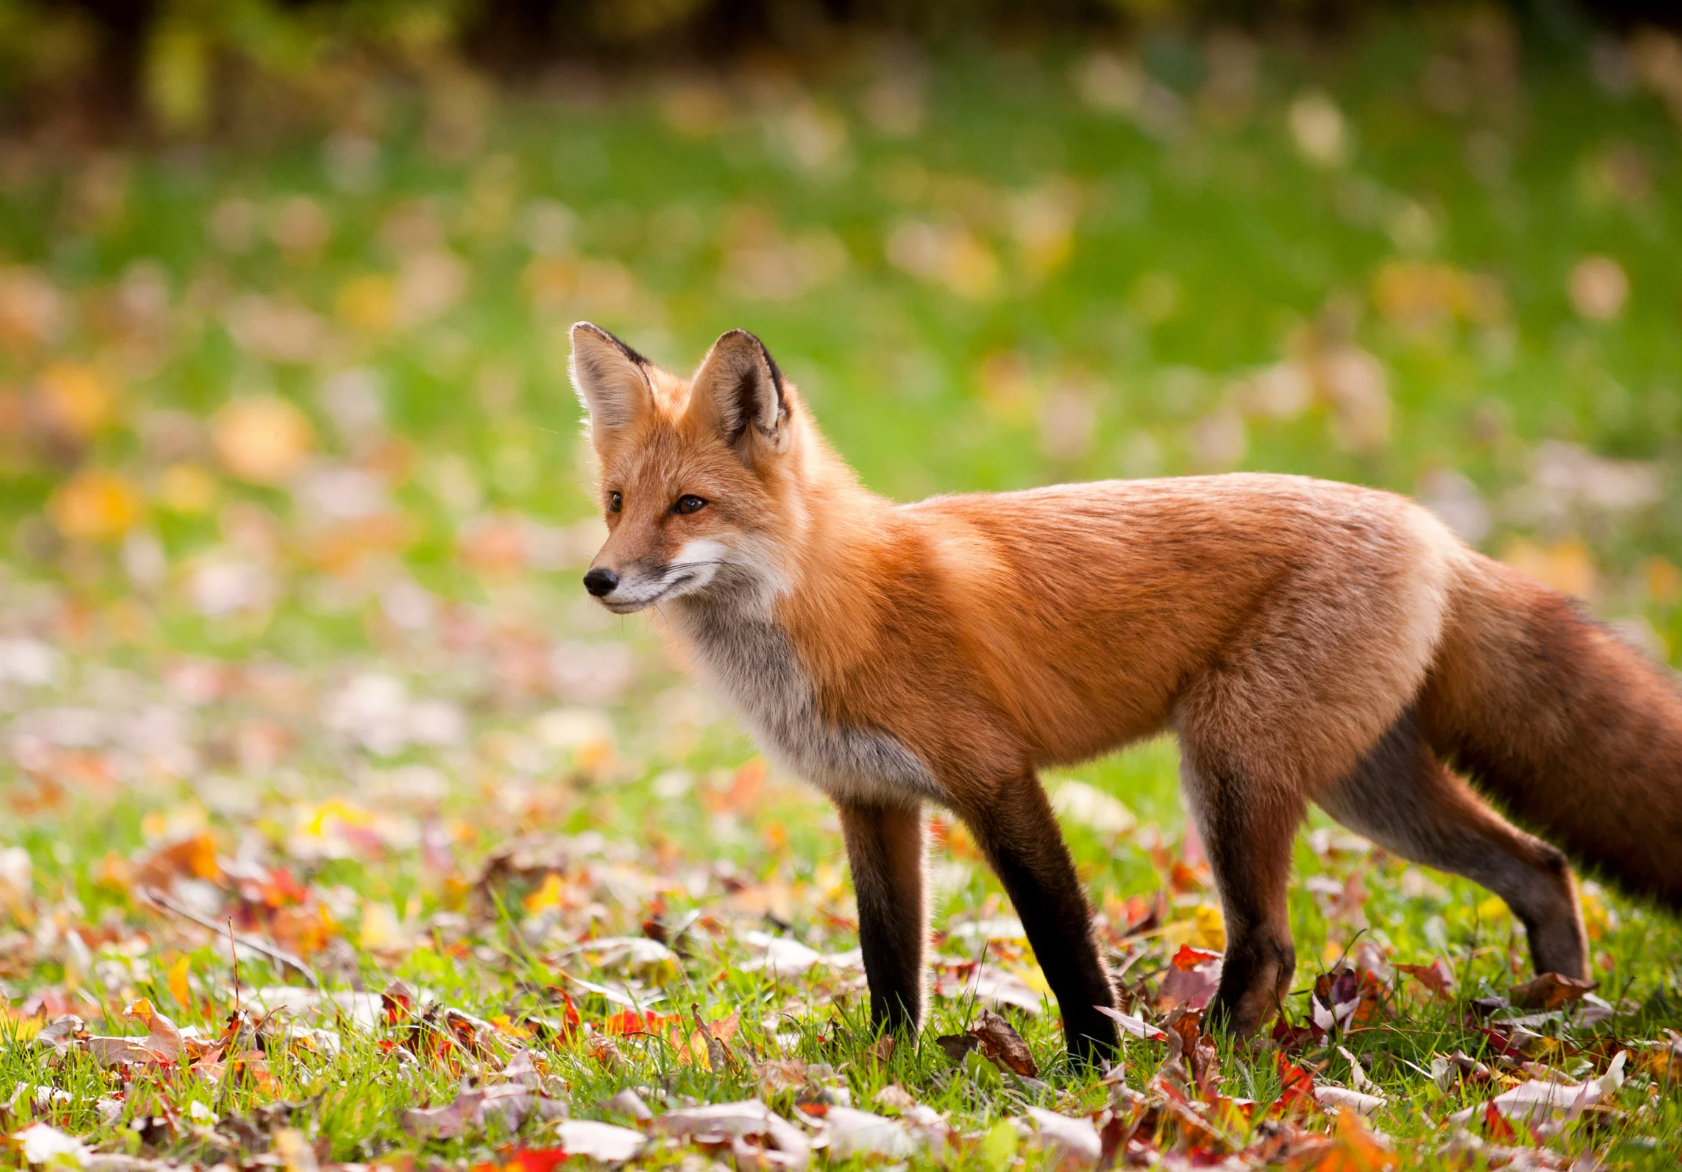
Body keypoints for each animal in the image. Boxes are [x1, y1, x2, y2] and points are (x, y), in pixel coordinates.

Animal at [568, 322, 1682, 1062]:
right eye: (617, 503)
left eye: (689, 506)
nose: (599, 580)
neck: (836, 602)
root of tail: (1434, 530)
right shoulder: (870, 800)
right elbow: (890, 959)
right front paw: (889, 1069)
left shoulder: (994, 776)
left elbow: (1061, 938)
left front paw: (1092, 1064)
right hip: (1366, 790)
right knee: (1540, 865)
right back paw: (1558, 1005)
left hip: (1231, 768)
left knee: (1271, 944)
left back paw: (1203, 1064)